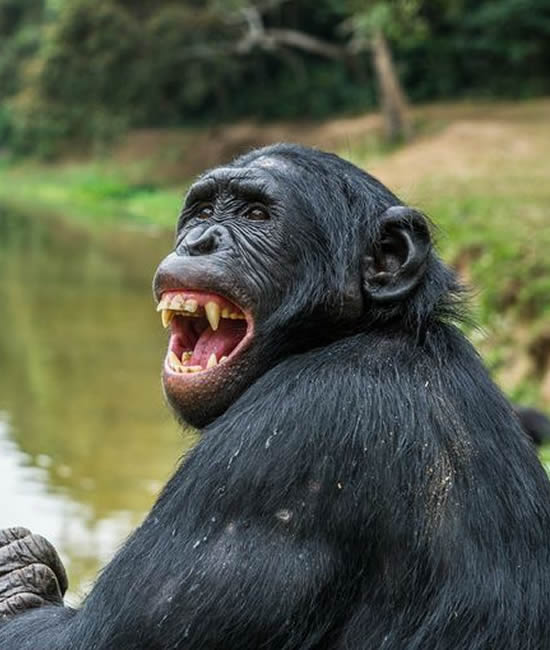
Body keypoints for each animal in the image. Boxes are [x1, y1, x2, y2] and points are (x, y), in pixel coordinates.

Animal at [1, 143, 550, 648]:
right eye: (203, 212)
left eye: (256, 216)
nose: (199, 241)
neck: (367, 329)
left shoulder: (287, 446)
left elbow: (81, 640)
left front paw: (16, 571)